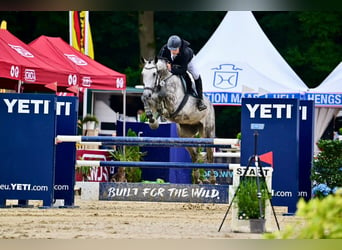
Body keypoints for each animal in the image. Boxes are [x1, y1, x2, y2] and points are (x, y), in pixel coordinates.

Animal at [140, 57, 215, 185]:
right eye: (143, 74)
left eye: (154, 74)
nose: (147, 93)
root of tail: (211, 104)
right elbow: (149, 100)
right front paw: (152, 119)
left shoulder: (174, 102)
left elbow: (161, 96)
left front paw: (160, 112)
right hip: (185, 135)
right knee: (195, 155)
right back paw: (197, 179)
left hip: (208, 133)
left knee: (210, 157)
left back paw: (212, 180)